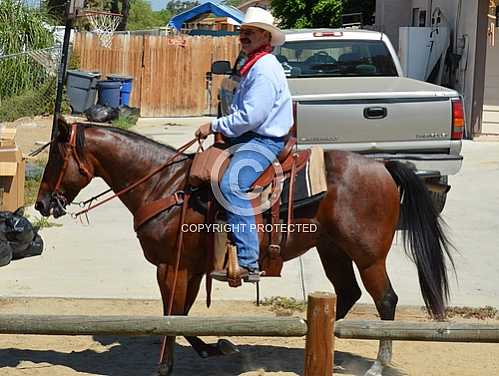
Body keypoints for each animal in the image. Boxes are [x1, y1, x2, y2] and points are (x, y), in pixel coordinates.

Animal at [37, 121, 456, 376]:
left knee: (385, 299)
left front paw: (168, 365)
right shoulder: (190, 268)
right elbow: (183, 316)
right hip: (332, 249)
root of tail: (382, 166)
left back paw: (376, 364)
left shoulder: (170, 266)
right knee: (347, 294)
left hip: (368, 255)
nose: (42, 205)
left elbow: (171, 316)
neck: (164, 185)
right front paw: (216, 348)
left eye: (55, 157)